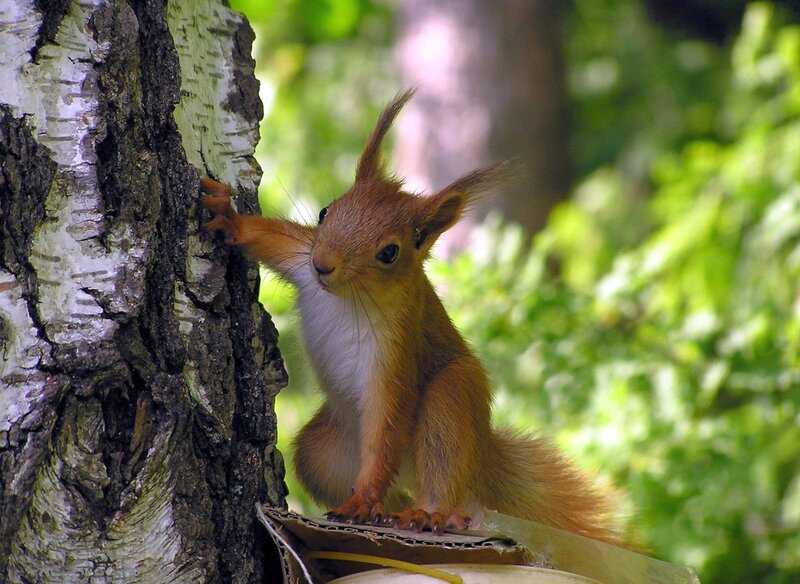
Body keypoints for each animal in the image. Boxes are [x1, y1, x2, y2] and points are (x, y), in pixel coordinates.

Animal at [199, 90, 621, 544]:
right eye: (327, 211)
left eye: (389, 252)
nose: (323, 265)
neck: (347, 297)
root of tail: (481, 460)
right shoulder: (300, 257)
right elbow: (269, 238)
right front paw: (229, 218)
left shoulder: (397, 347)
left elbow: (388, 421)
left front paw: (365, 498)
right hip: (323, 452)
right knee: (382, 487)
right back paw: (386, 511)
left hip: (451, 401)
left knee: (441, 474)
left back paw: (429, 514)